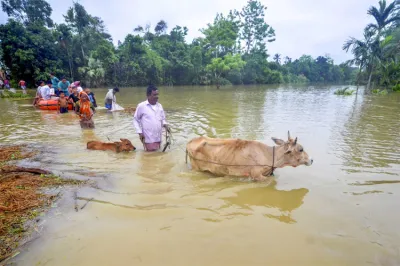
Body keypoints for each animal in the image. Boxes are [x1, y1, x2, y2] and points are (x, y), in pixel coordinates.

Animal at [186, 131, 314, 183]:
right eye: (301, 149)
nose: (312, 159)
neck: (268, 155)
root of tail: (191, 141)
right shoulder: (256, 175)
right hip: (196, 168)